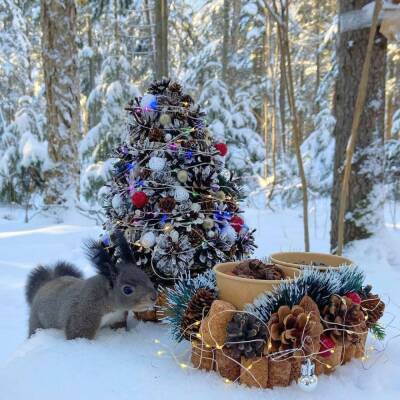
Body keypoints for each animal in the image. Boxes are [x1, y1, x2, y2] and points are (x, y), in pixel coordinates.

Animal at [25, 233, 157, 340]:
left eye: (146, 277)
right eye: (127, 290)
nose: (154, 297)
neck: (111, 305)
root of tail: (46, 285)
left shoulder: (118, 317)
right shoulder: (83, 316)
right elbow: (78, 335)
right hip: (37, 322)